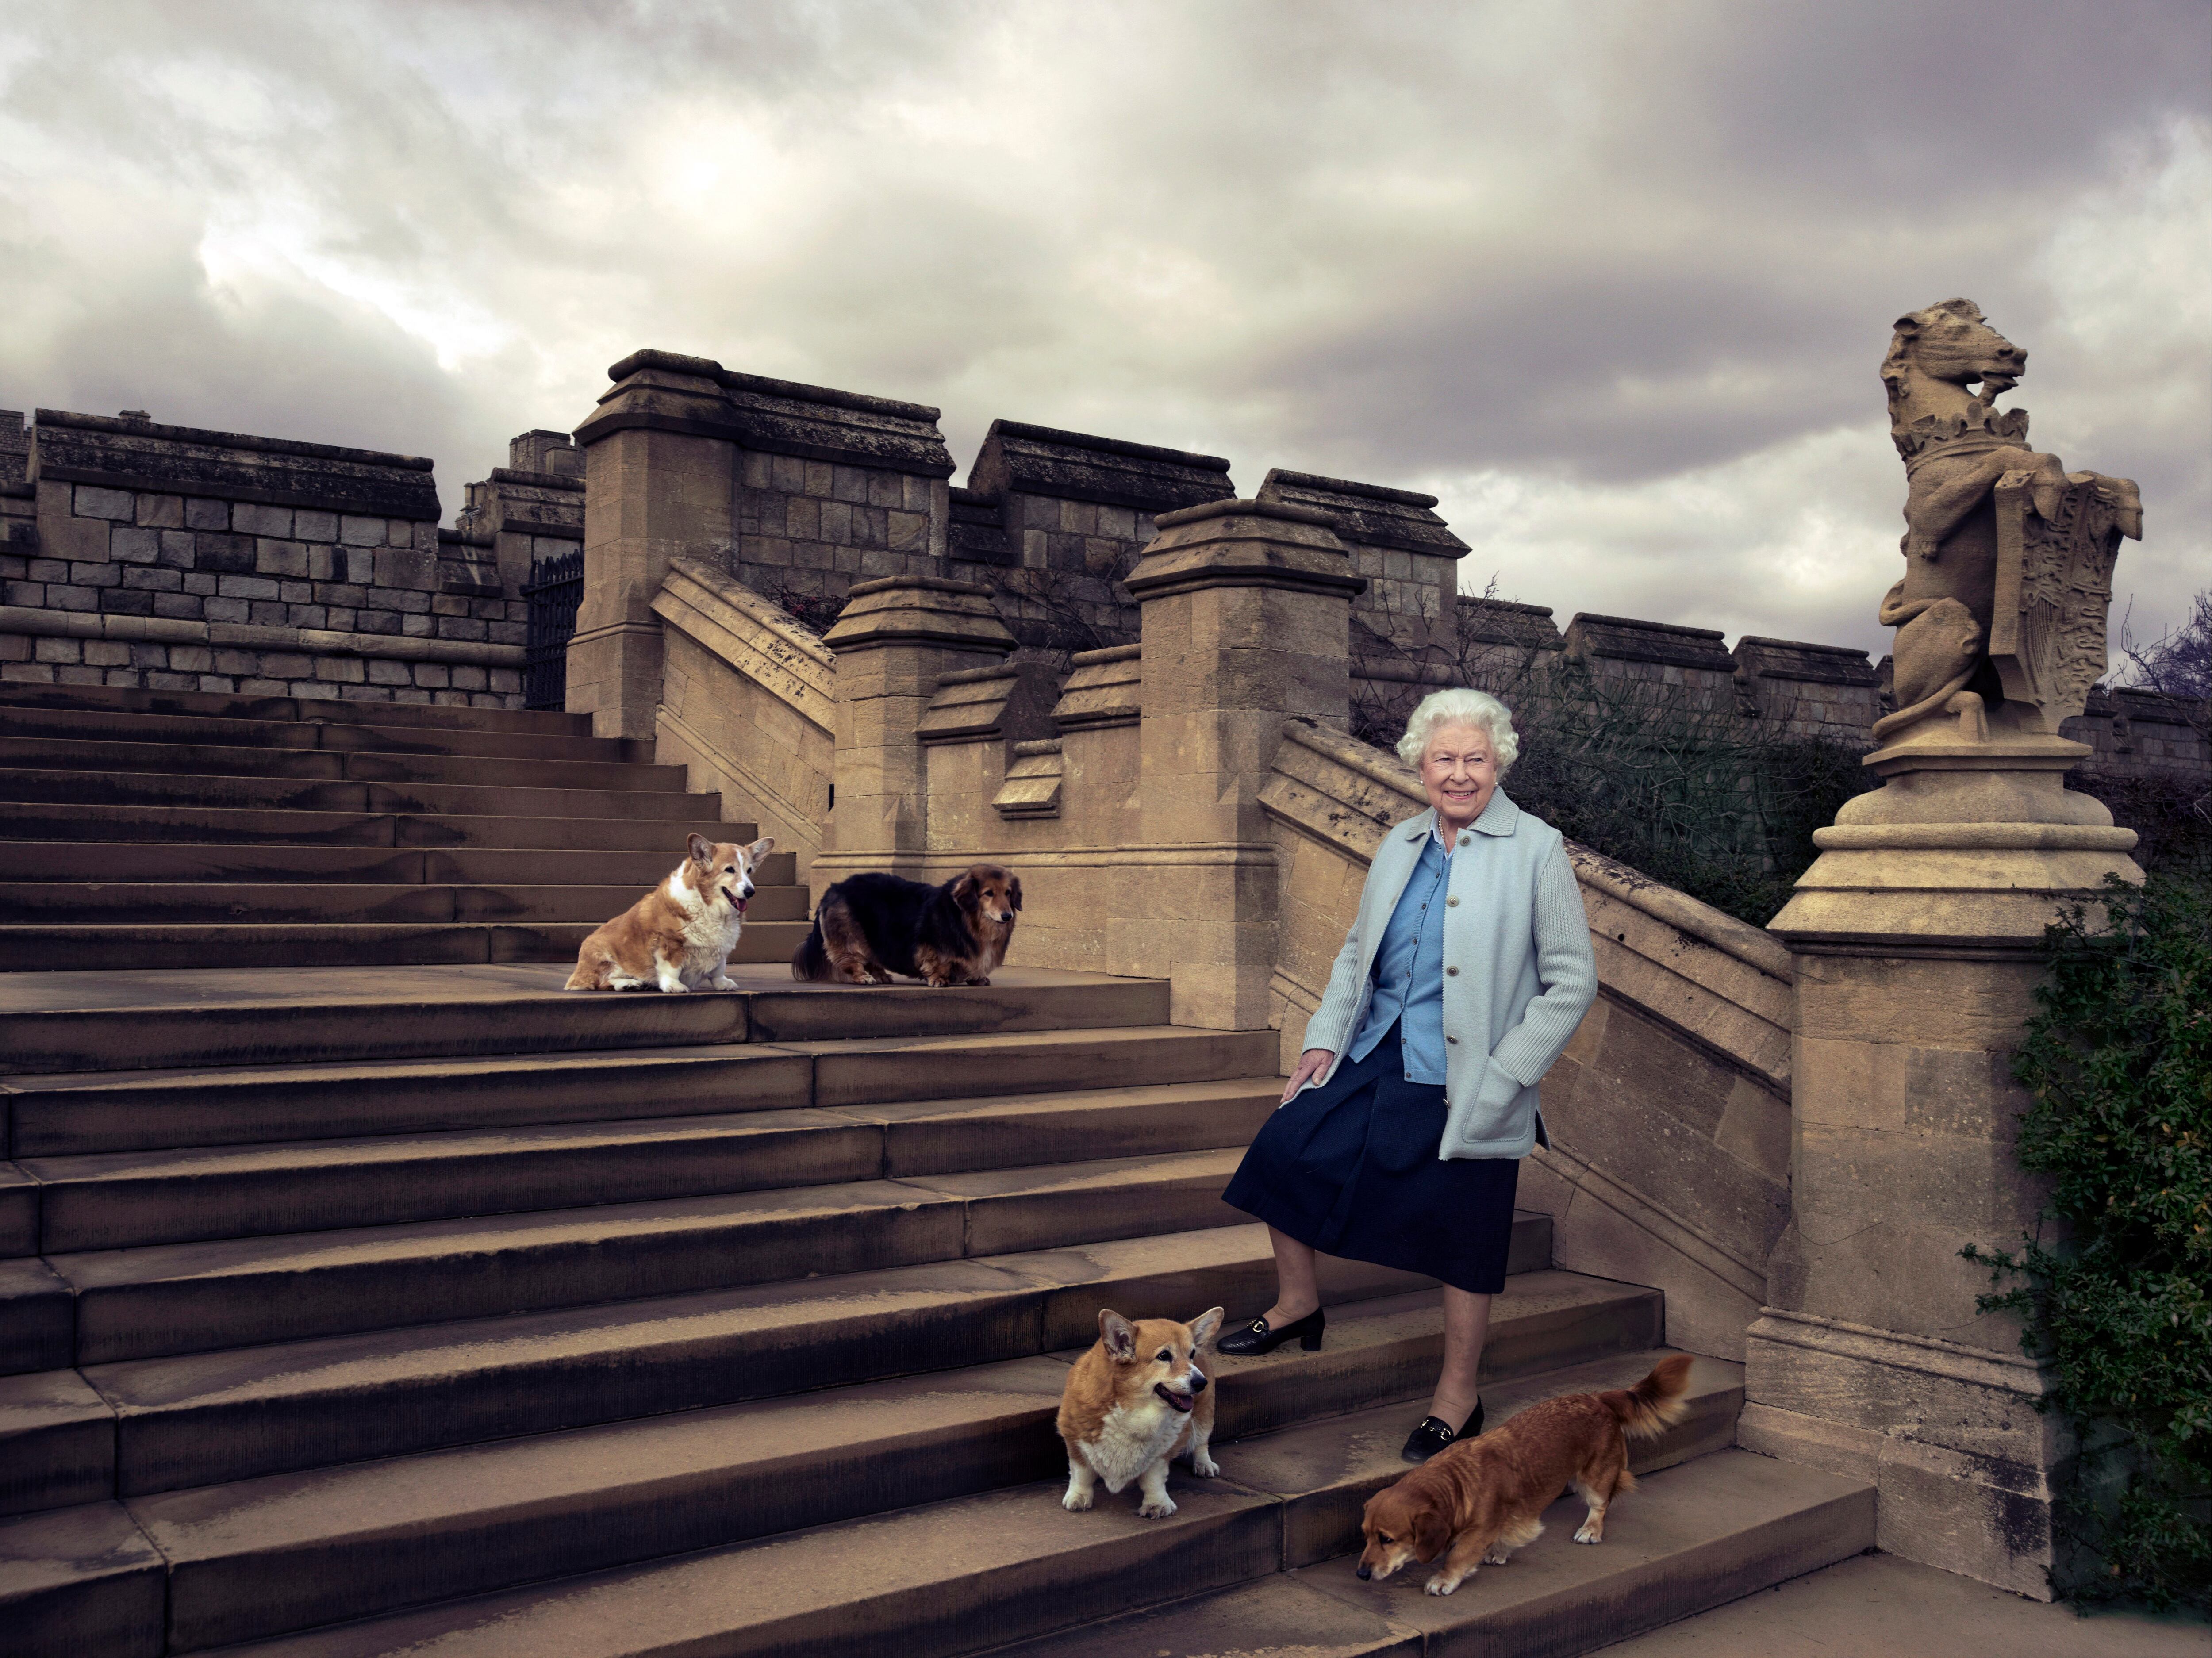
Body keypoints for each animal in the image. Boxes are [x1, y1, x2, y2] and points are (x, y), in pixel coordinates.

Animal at [566, 835, 774, 994]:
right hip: (602, 955)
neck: (709, 905)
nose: (750, 892)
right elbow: (672, 968)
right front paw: (674, 986)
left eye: (749, 871)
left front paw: (723, 984)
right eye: (730, 870)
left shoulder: (721, 947)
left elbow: (718, 969)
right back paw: (629, 984)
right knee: (604, 981)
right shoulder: (668, 942)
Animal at [792, 871, 1022, 986]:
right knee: (852, 959)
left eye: (1008, 893)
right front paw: (939, 979)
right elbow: (939, 964)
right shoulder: (934, 947)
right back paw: (864, 977)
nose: (1007, 916)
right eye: (988, 893)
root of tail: (833, 889)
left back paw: (881, 975)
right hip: (851, 937)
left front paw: (977, 978)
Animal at [1057, 1309, 1230, 1530]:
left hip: (1204, 1416)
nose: (1202, 1383)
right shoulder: (1075, 1438)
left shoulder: (1161, 1454)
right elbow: (1082, 1472)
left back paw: (1204, 1465)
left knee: (1201, 1443)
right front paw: (1079, 1497)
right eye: (1164, 1355)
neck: (1136, 1413)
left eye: (1191, 1354)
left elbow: (1154, 1479)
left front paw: (1157, 1504)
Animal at [1345, 1362, 1690, 1600]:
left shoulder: (1479, 1529)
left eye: (1387, 1539)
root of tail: (1597, 1398)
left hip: (1593, 1479)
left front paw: (1444, 1579)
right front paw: (1500, 1550)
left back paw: (1591, 1530)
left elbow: (1459, 1555)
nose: (1361, 1574)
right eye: (1366, 1536)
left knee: (1601, 1504)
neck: (1456, 1481)